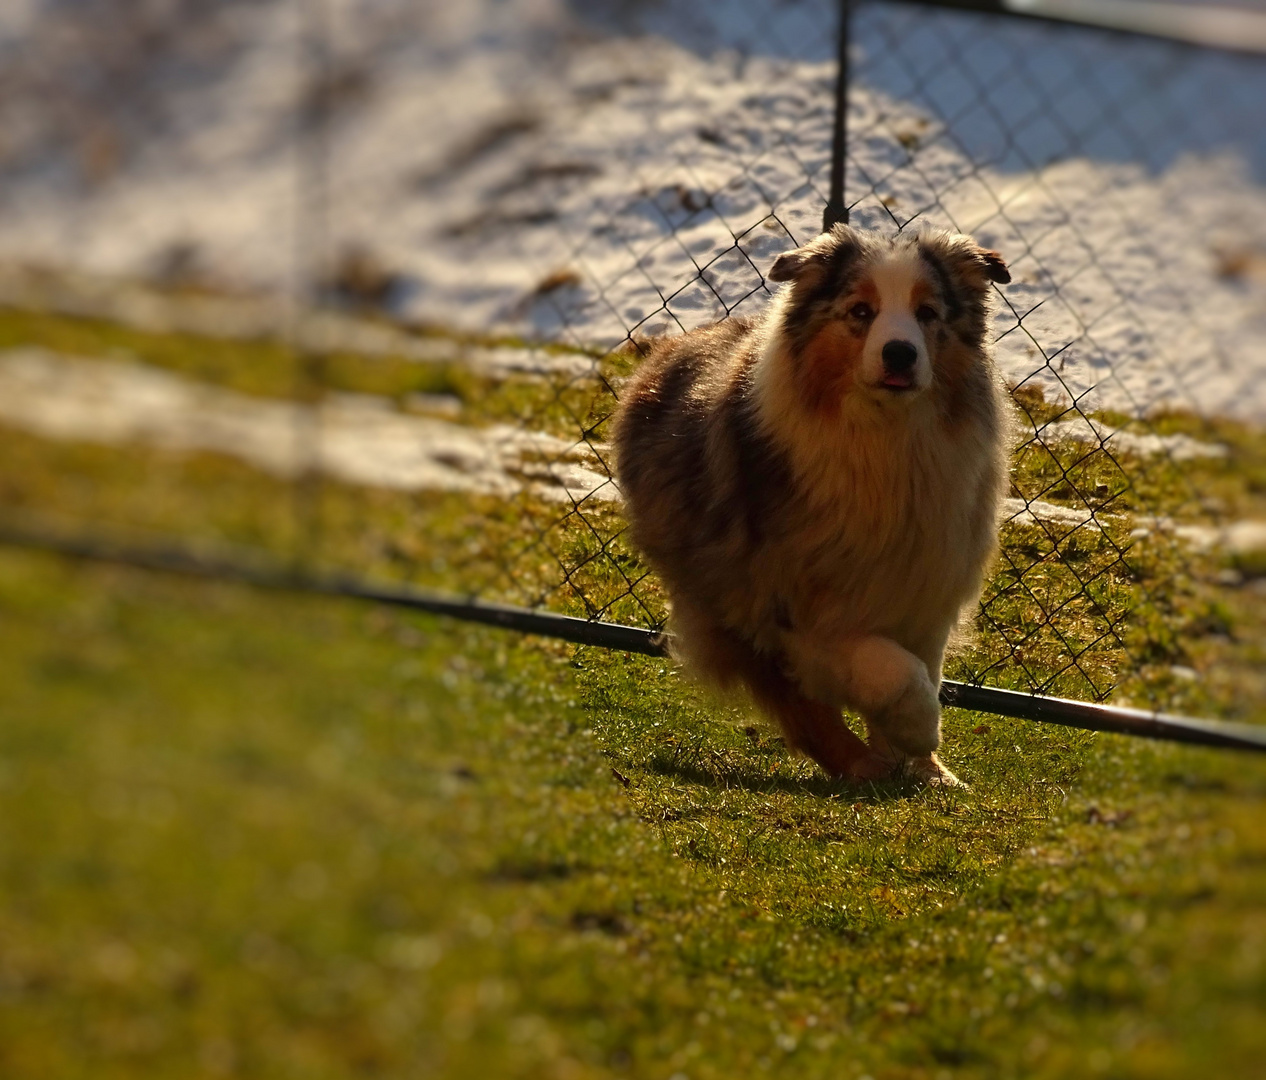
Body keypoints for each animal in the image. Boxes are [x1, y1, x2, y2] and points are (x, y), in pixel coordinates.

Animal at [607, 225, 1012, 784]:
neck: (884, 441)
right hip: (716, 589)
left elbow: (921, 667)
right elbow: (894, 672)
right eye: (861, 311)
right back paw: (860, 764)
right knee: (796, 703)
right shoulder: (781, 603)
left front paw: (926, 768)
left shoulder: (924, 585)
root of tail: (668, 349)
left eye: (927, 313)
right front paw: (917, 731)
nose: (900, 354)